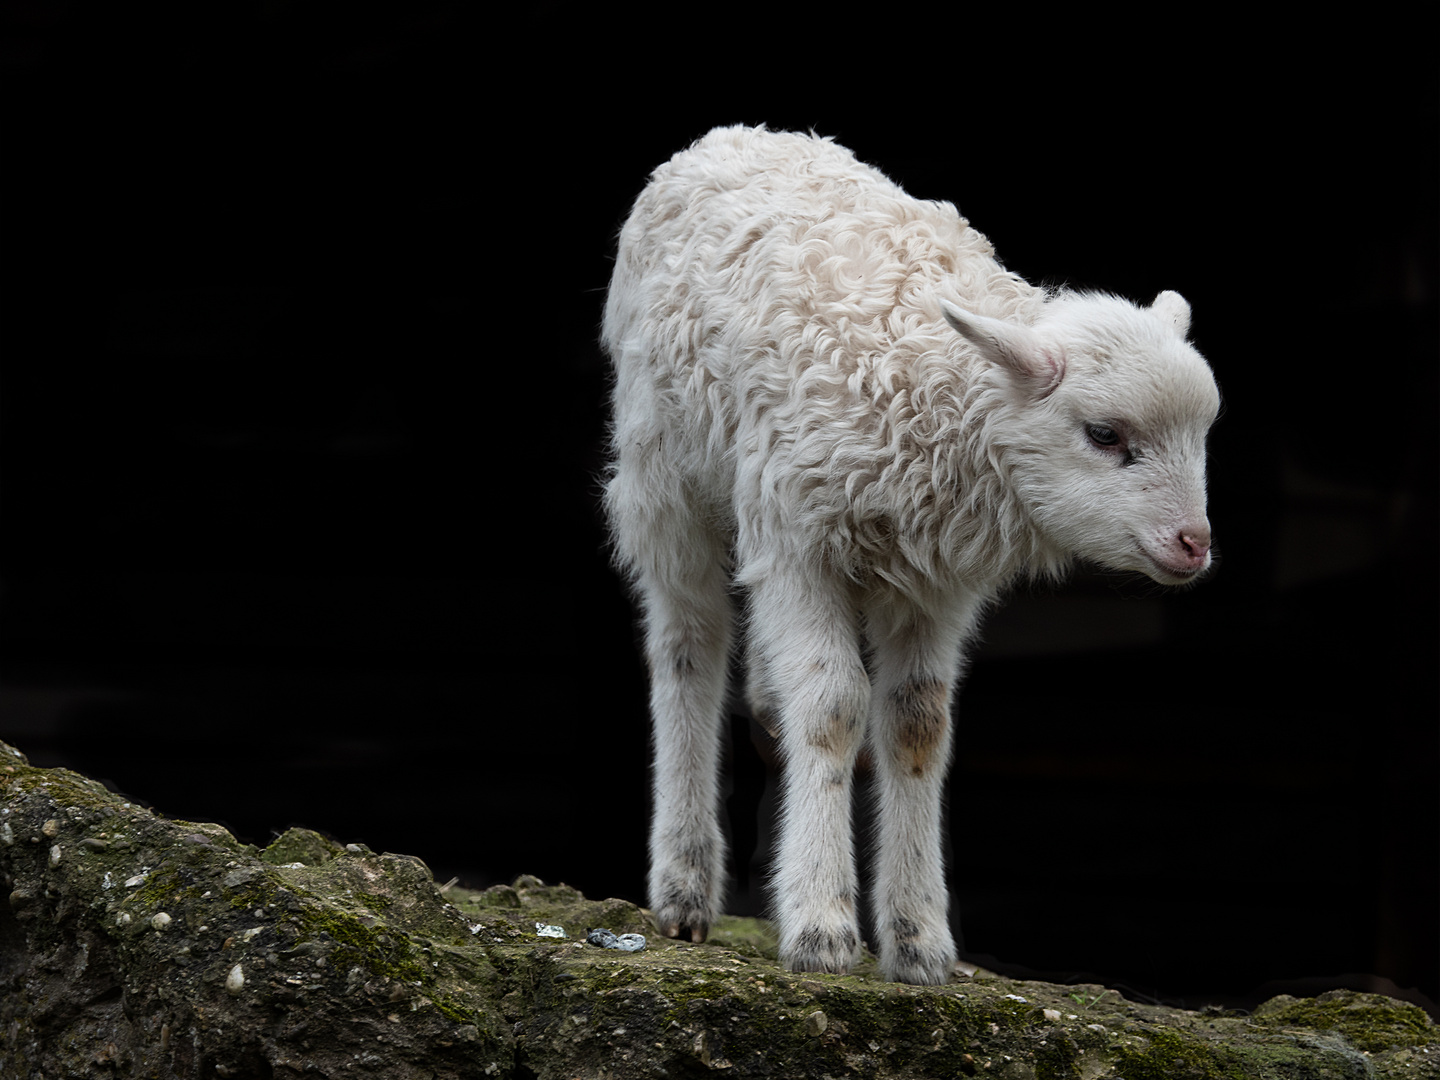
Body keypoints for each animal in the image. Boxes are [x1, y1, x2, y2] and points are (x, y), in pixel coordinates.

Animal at [601, 126, 1221, 990]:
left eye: (1204, 433)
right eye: (1105, 435)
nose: (1194, 544)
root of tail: (735, 135)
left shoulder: (935, 581)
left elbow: (919, 723)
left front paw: (918, 937)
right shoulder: (797, 540)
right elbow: (833, 708)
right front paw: (821, 923)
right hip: (664, 473)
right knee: (688, 643)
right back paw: (685, 882)